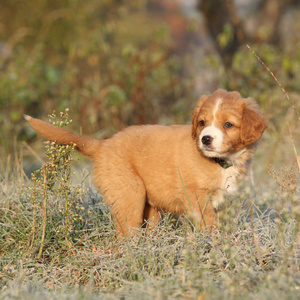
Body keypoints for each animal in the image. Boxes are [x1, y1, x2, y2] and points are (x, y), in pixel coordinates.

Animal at [24, 89, 266, 237]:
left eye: (228, 124)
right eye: (202, 122)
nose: (205, 139)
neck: (220, 162)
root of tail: (103, 144)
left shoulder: (226, 200)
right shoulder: (197, 198)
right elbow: (210, 223)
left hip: (150, 209)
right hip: (130, 195)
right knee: (125, 237)